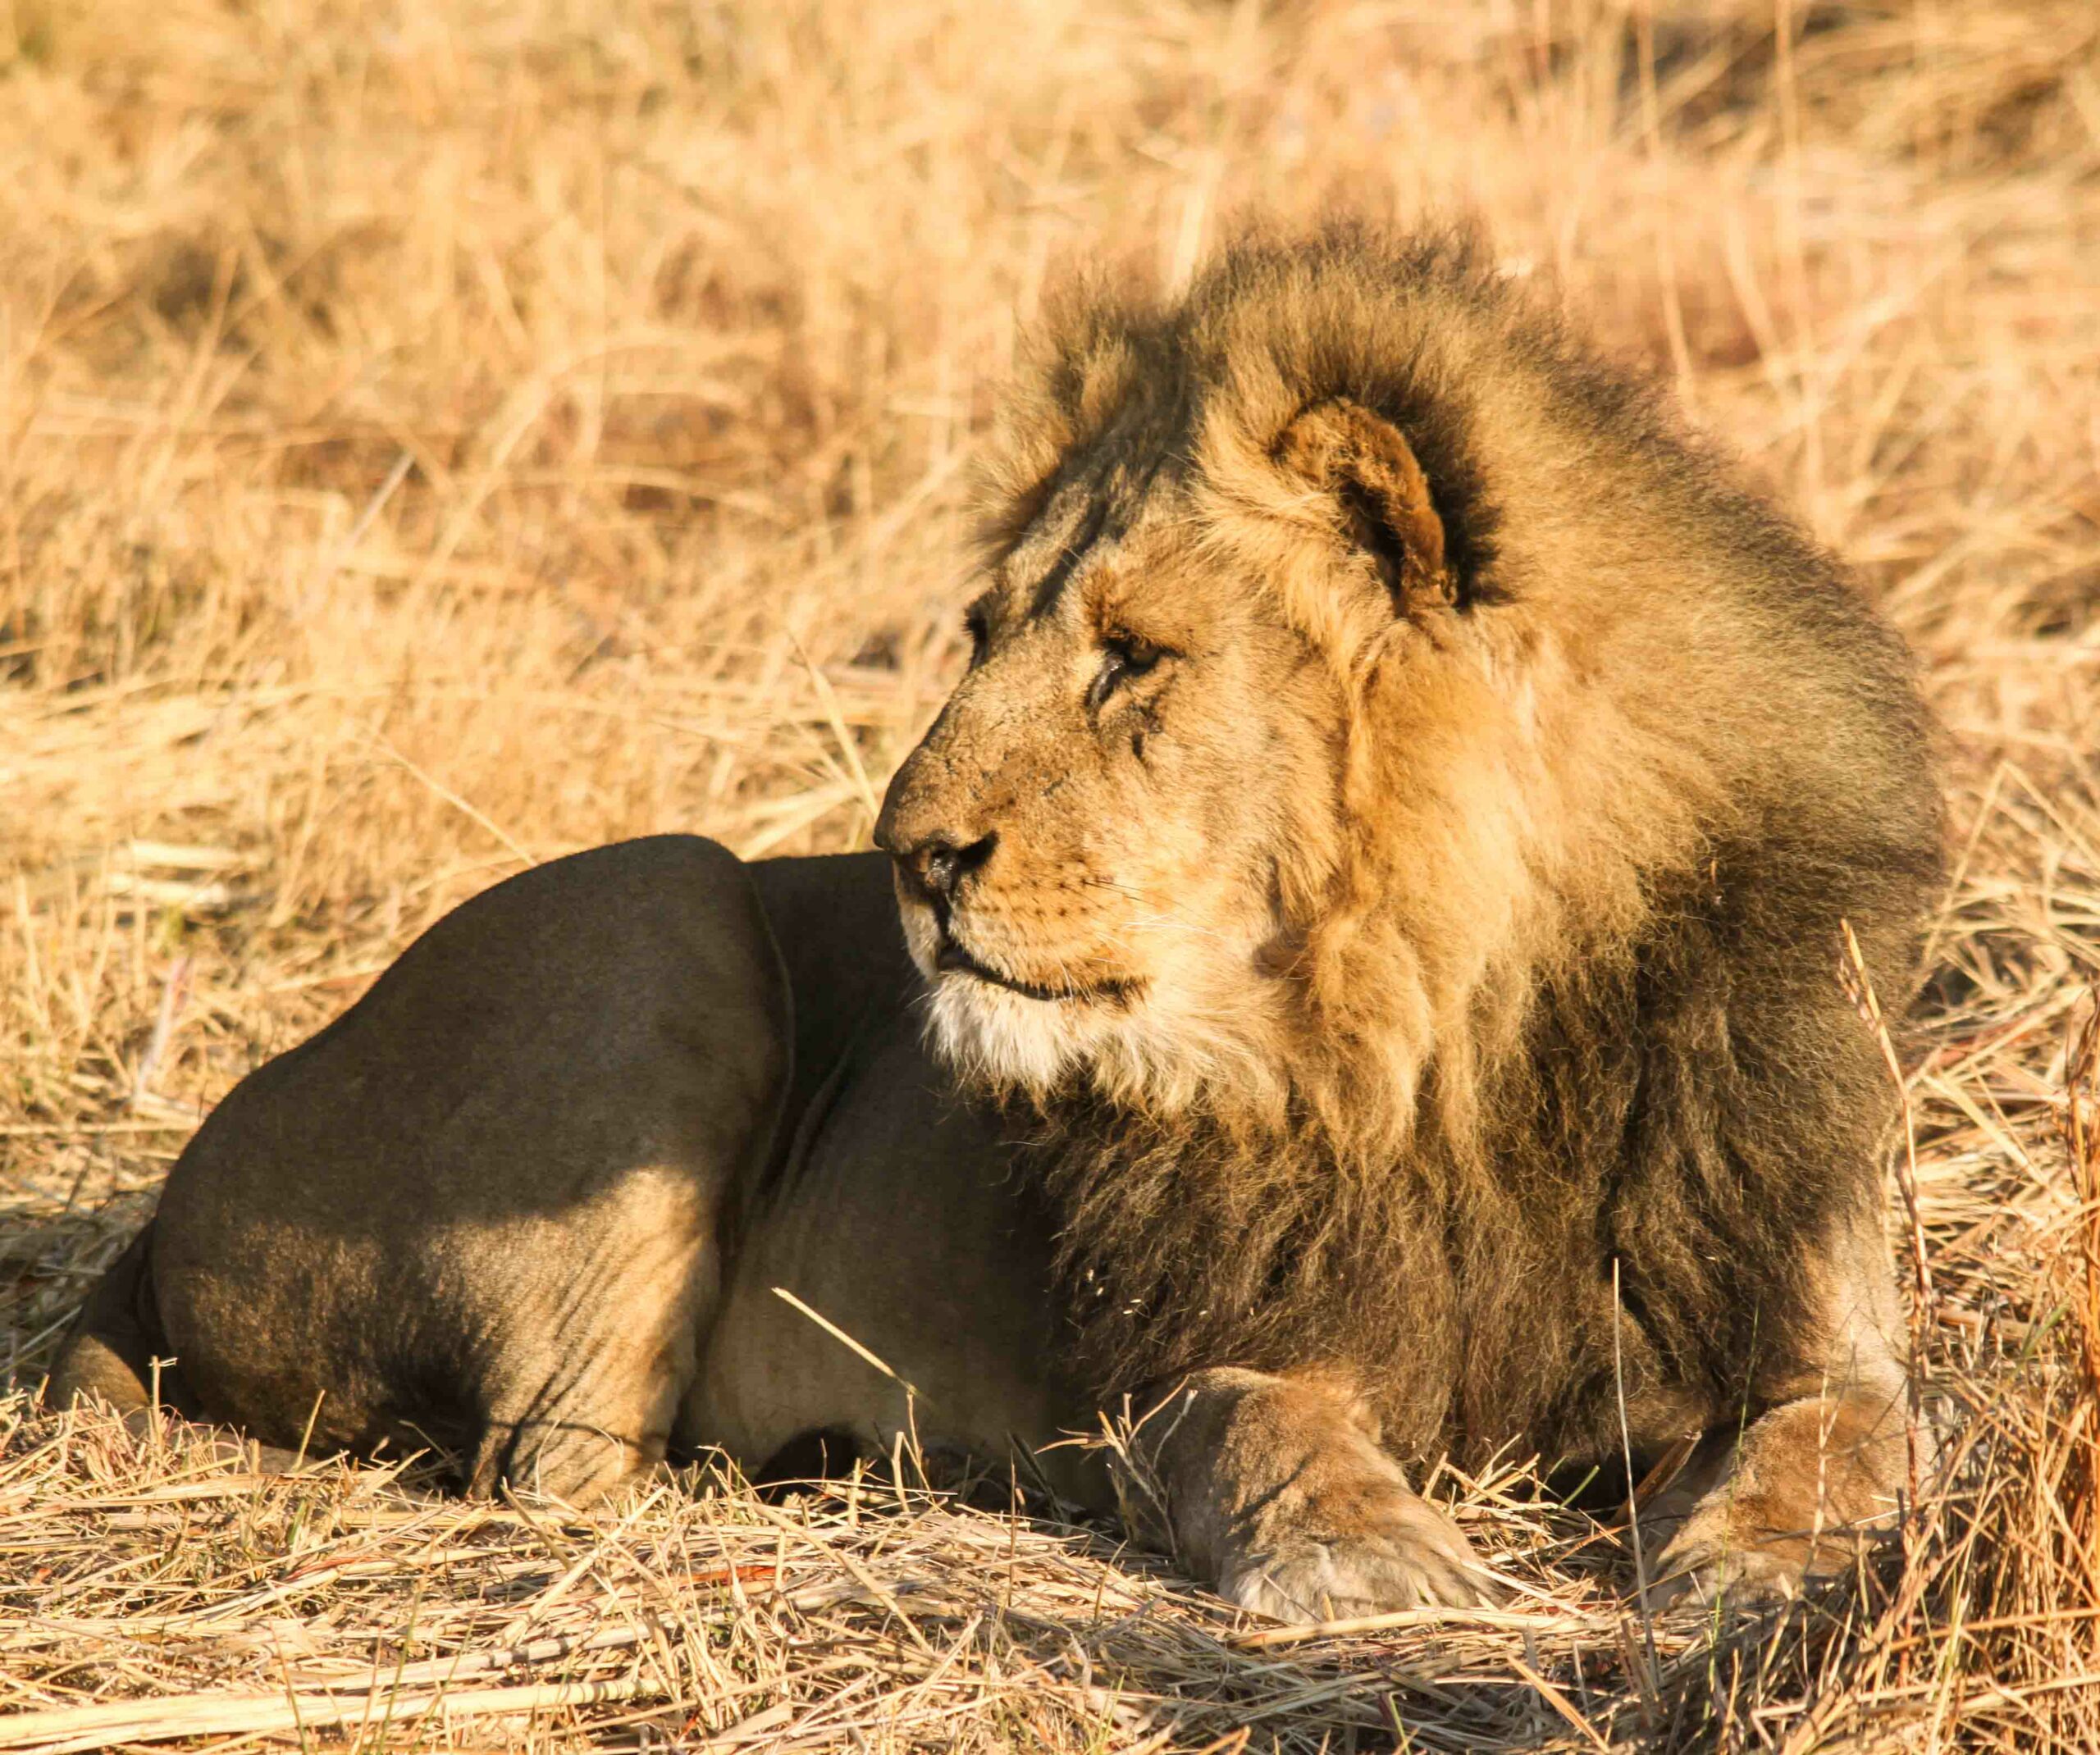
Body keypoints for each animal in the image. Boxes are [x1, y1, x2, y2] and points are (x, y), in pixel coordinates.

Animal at [49, 230, 1940, 1621]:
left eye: (1130, 658)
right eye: (981, 633)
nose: (908, 853)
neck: (1438, 1047)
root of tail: (172, 1189)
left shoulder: (1813, 1304)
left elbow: (1846, 1435)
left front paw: (1764, 1570)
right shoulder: (1164, 1372)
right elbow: (1264, 1423)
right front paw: (1367, 1558)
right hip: (663, 902)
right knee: (553, 1471)